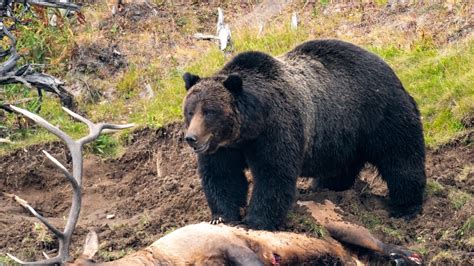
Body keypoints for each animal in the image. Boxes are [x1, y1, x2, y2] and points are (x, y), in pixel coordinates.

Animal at [181, 38, 426, 230]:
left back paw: (405, 207)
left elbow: (273, 174)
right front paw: (222, 217)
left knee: (400, 157)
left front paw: (255, 220)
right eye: (190, 111)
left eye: (210, 111)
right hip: (342, 137)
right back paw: (328, 188)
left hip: (379, 115)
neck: (249, 129)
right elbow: (223, 176)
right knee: (341, 168)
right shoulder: (223, 148)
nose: (191, 138)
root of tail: (386, 65)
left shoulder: (276, 129)